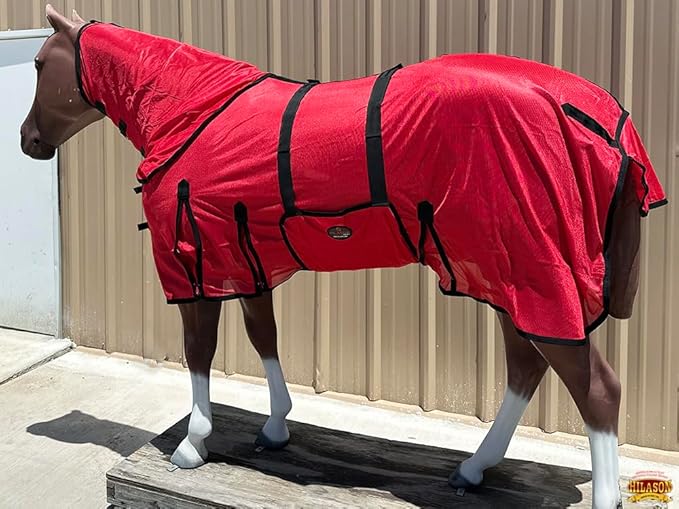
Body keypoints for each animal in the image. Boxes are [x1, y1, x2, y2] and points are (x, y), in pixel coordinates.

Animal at [21, 6, 667, 509]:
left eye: (39, 64)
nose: (28, 141)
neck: (190, 110)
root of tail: (597, 117)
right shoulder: (245, 262)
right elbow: (264, 338)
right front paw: (275, 426)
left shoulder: (194, 268)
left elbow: (199, 355)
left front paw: (193, 443)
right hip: (505, 278)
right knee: (524, 369)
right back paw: (473, 469)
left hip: (534, 278)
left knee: (597, 390)